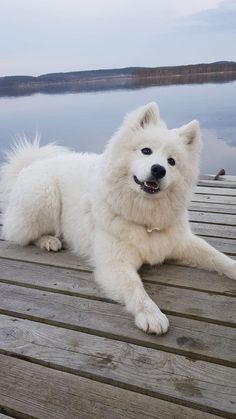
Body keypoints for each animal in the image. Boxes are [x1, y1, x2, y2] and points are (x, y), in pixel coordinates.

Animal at [0, 103, 235, 336]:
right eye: (146, 151)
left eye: (172, 162)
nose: (158, 170)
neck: (146, 217)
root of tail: (29, 165)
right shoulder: (115, 262)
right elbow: (134, 286)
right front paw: (151, 314)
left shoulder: (181, 242)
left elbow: (216, 256)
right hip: (43, 197)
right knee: (20, 234)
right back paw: (48, 240)